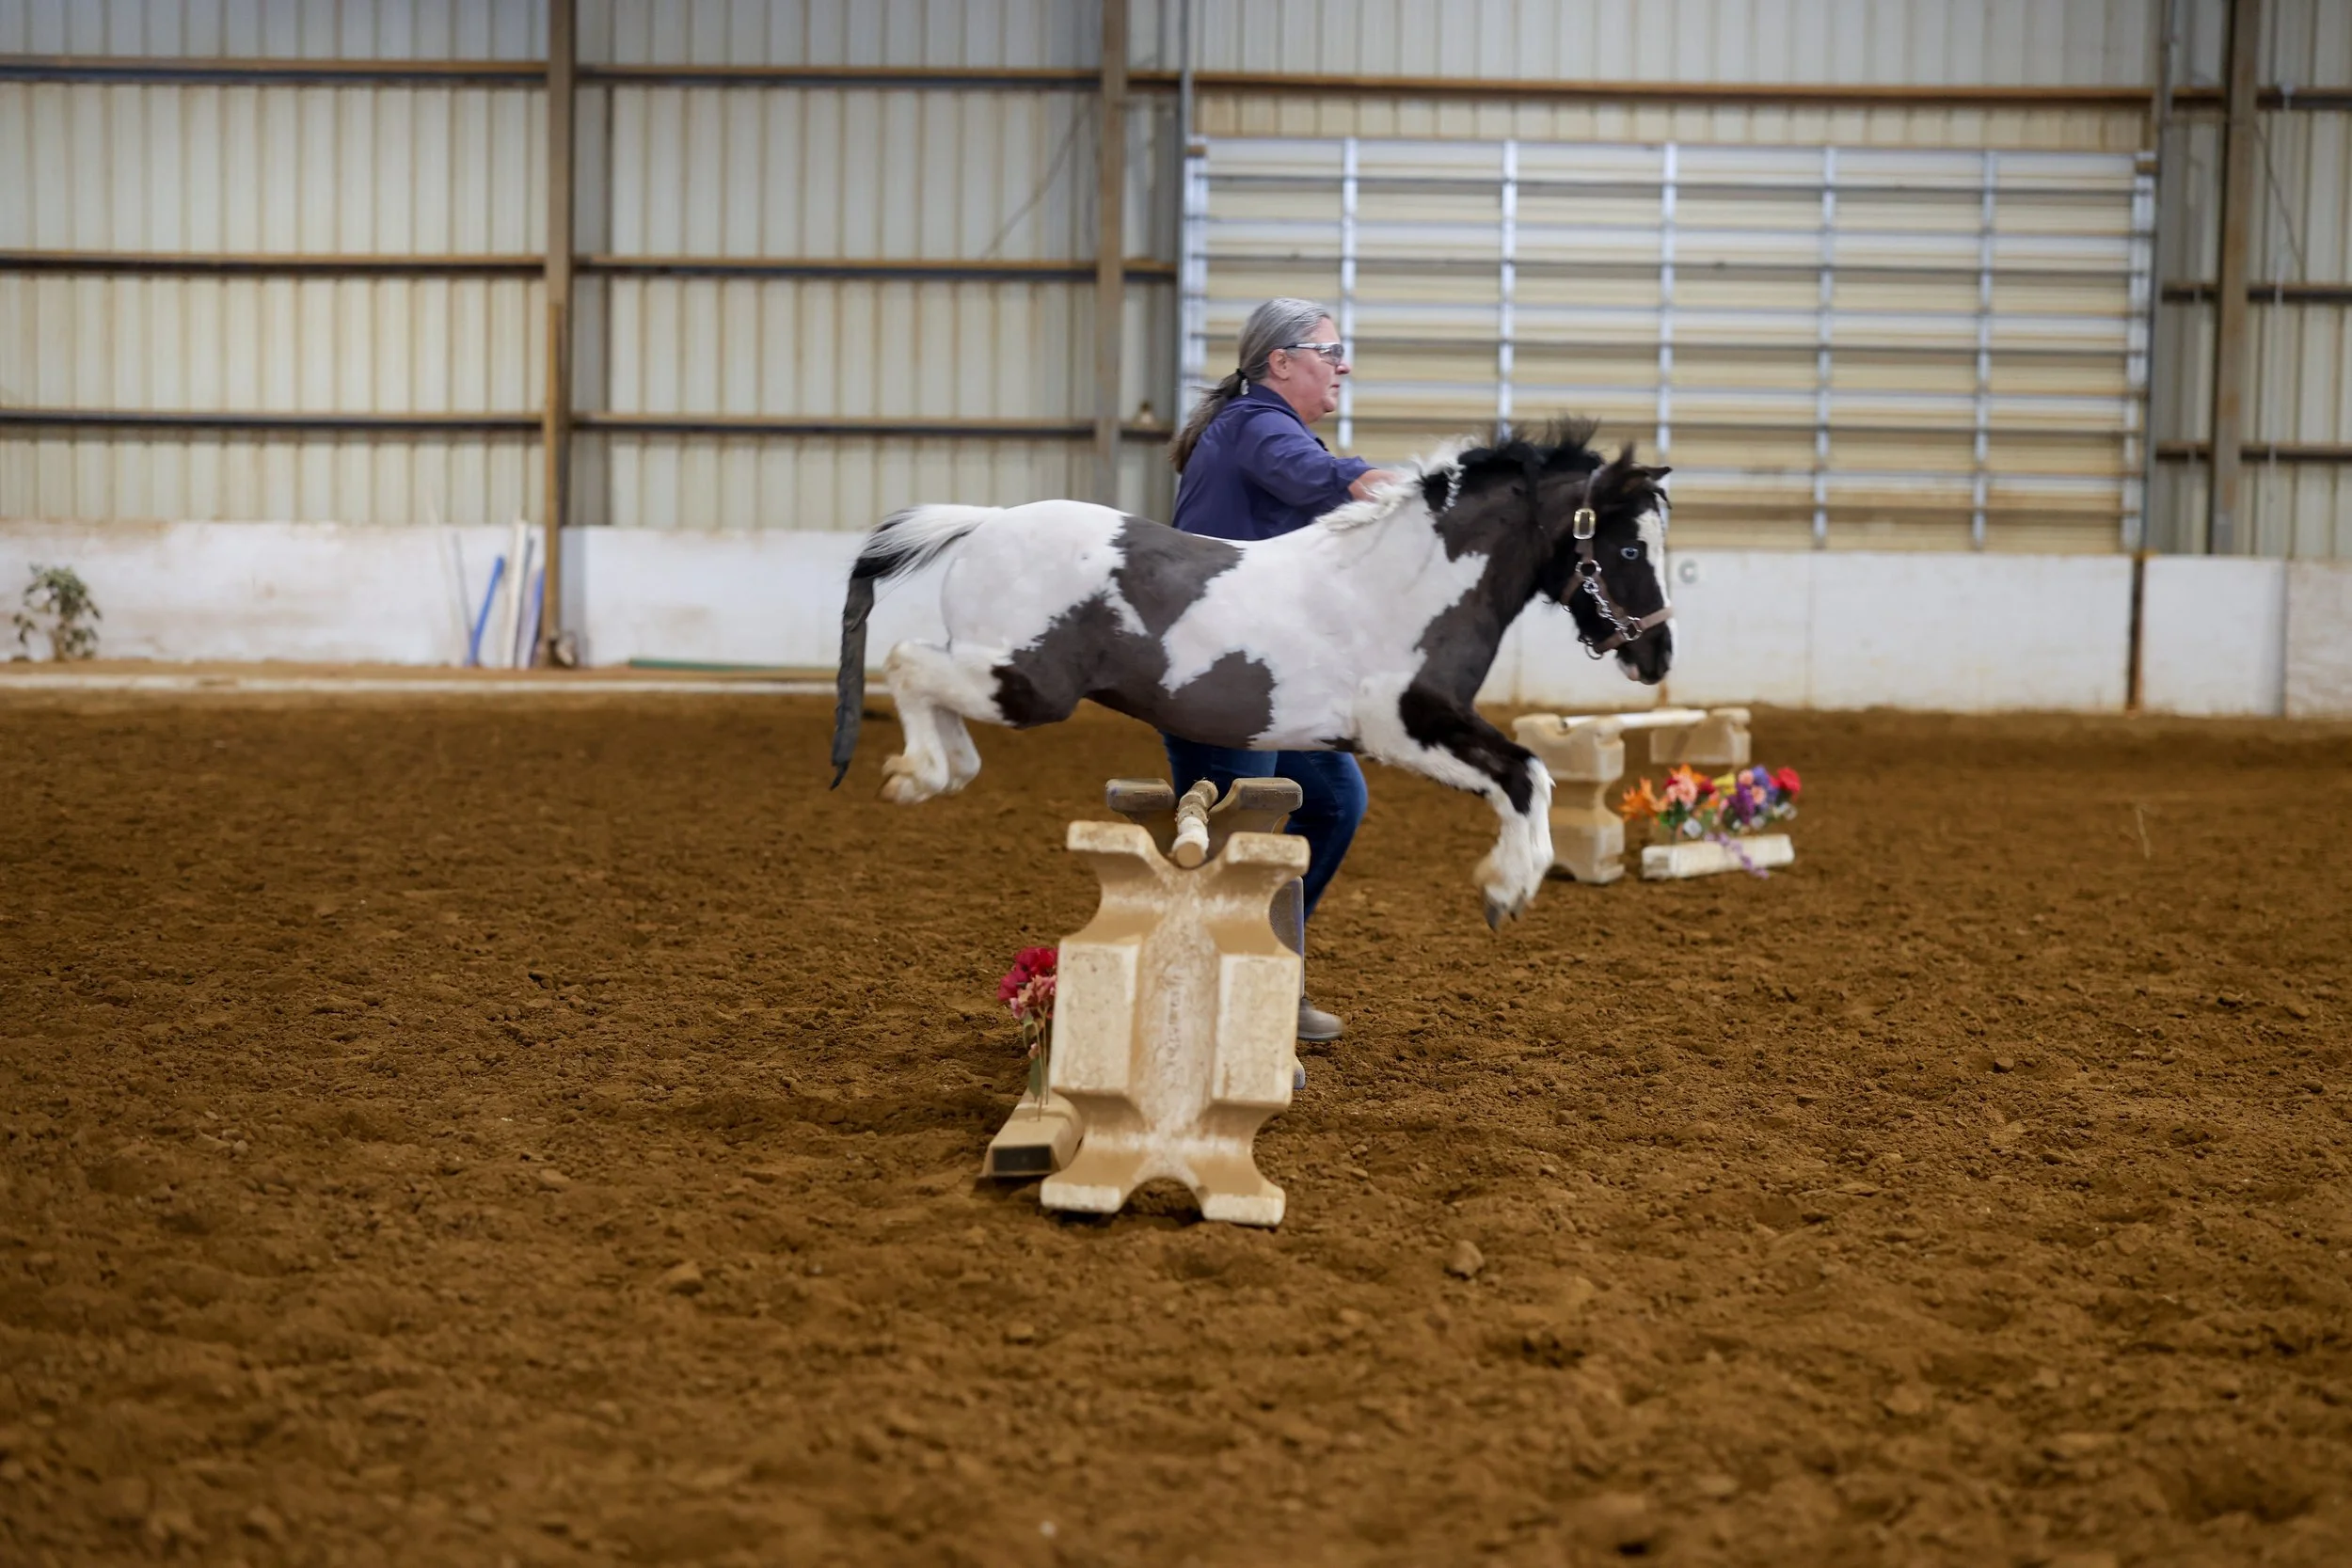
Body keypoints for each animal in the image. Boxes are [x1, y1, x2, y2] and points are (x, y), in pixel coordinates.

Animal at [829, 419, 1674, 927]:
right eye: (1629, 548)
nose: (1656, 655)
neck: (1412, 584)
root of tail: (986, 521)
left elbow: (1528, 773)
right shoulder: (1405, 724)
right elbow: (1528, 772)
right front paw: (1507, 887)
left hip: (1003, 674)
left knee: (930, 682)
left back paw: (937, 770)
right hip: (1028, 684)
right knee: (908, 663)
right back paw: (916, 774)